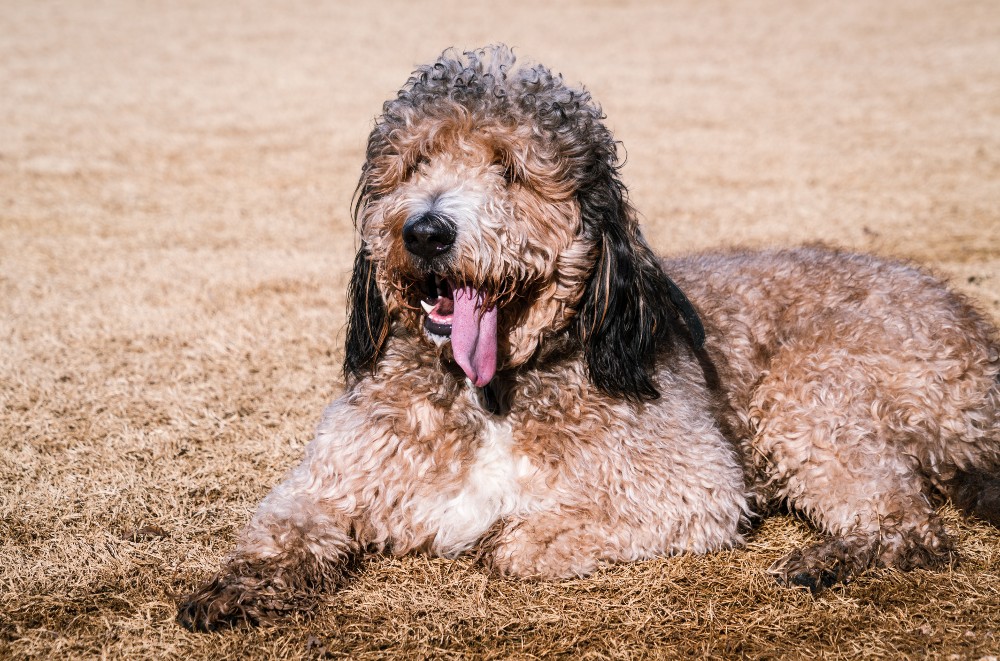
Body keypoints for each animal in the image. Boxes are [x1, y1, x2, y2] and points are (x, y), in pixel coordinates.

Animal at [180, 43, 1000, 632]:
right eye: (412, 164)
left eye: (511, 170)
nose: (426, 231)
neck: (494, 392)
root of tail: (976, 334)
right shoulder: (334, 476)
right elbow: (281, 528)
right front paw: (233, 587)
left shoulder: (692, 484)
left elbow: (527, 539)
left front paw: (510, 539)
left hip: (811, 396)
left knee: (911, 528)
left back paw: (830, 556)